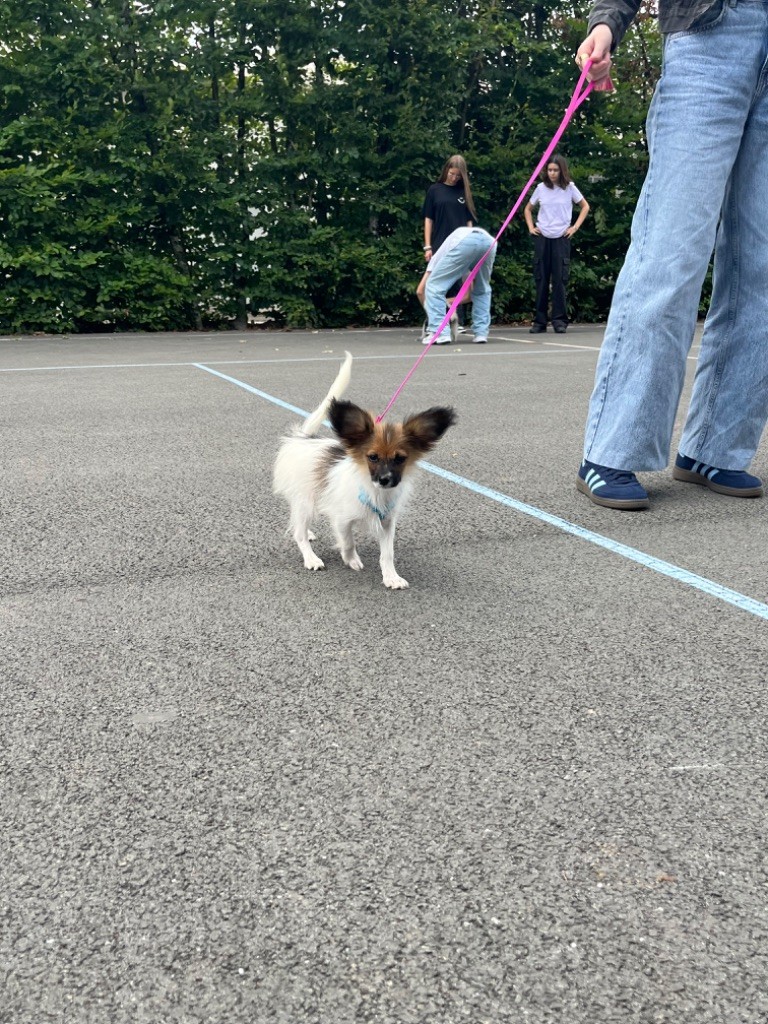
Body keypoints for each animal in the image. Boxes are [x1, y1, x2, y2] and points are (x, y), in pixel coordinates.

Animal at [273, 351, 457, 589]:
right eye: (372, 457)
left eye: (401, 459)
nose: (385, 479)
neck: (374, 490)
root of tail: (304, 439)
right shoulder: (342, 519)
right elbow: (348, 541)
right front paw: (351, 560)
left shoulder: (387, 522)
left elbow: (387, 553)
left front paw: (391, 577)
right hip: (304, 499)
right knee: (299, 533)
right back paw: (311, 558)